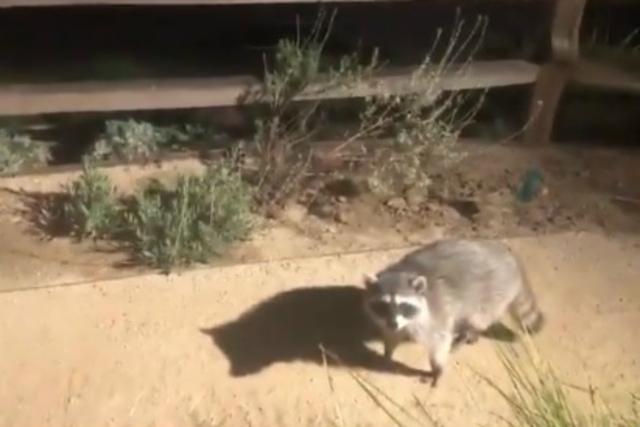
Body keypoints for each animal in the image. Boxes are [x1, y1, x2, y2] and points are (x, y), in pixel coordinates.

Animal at [362, 237, 544, 388]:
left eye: (404, 306)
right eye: (383, 305)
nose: (393, 323)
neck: (404, 271)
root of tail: (510, 258)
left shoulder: (435, 312)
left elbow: (439, 341)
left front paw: (437, 369)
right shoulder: (389, 319)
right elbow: (391, 335)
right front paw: (387, 352)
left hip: (493, 293)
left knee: (478, 319)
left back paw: (469, 333)